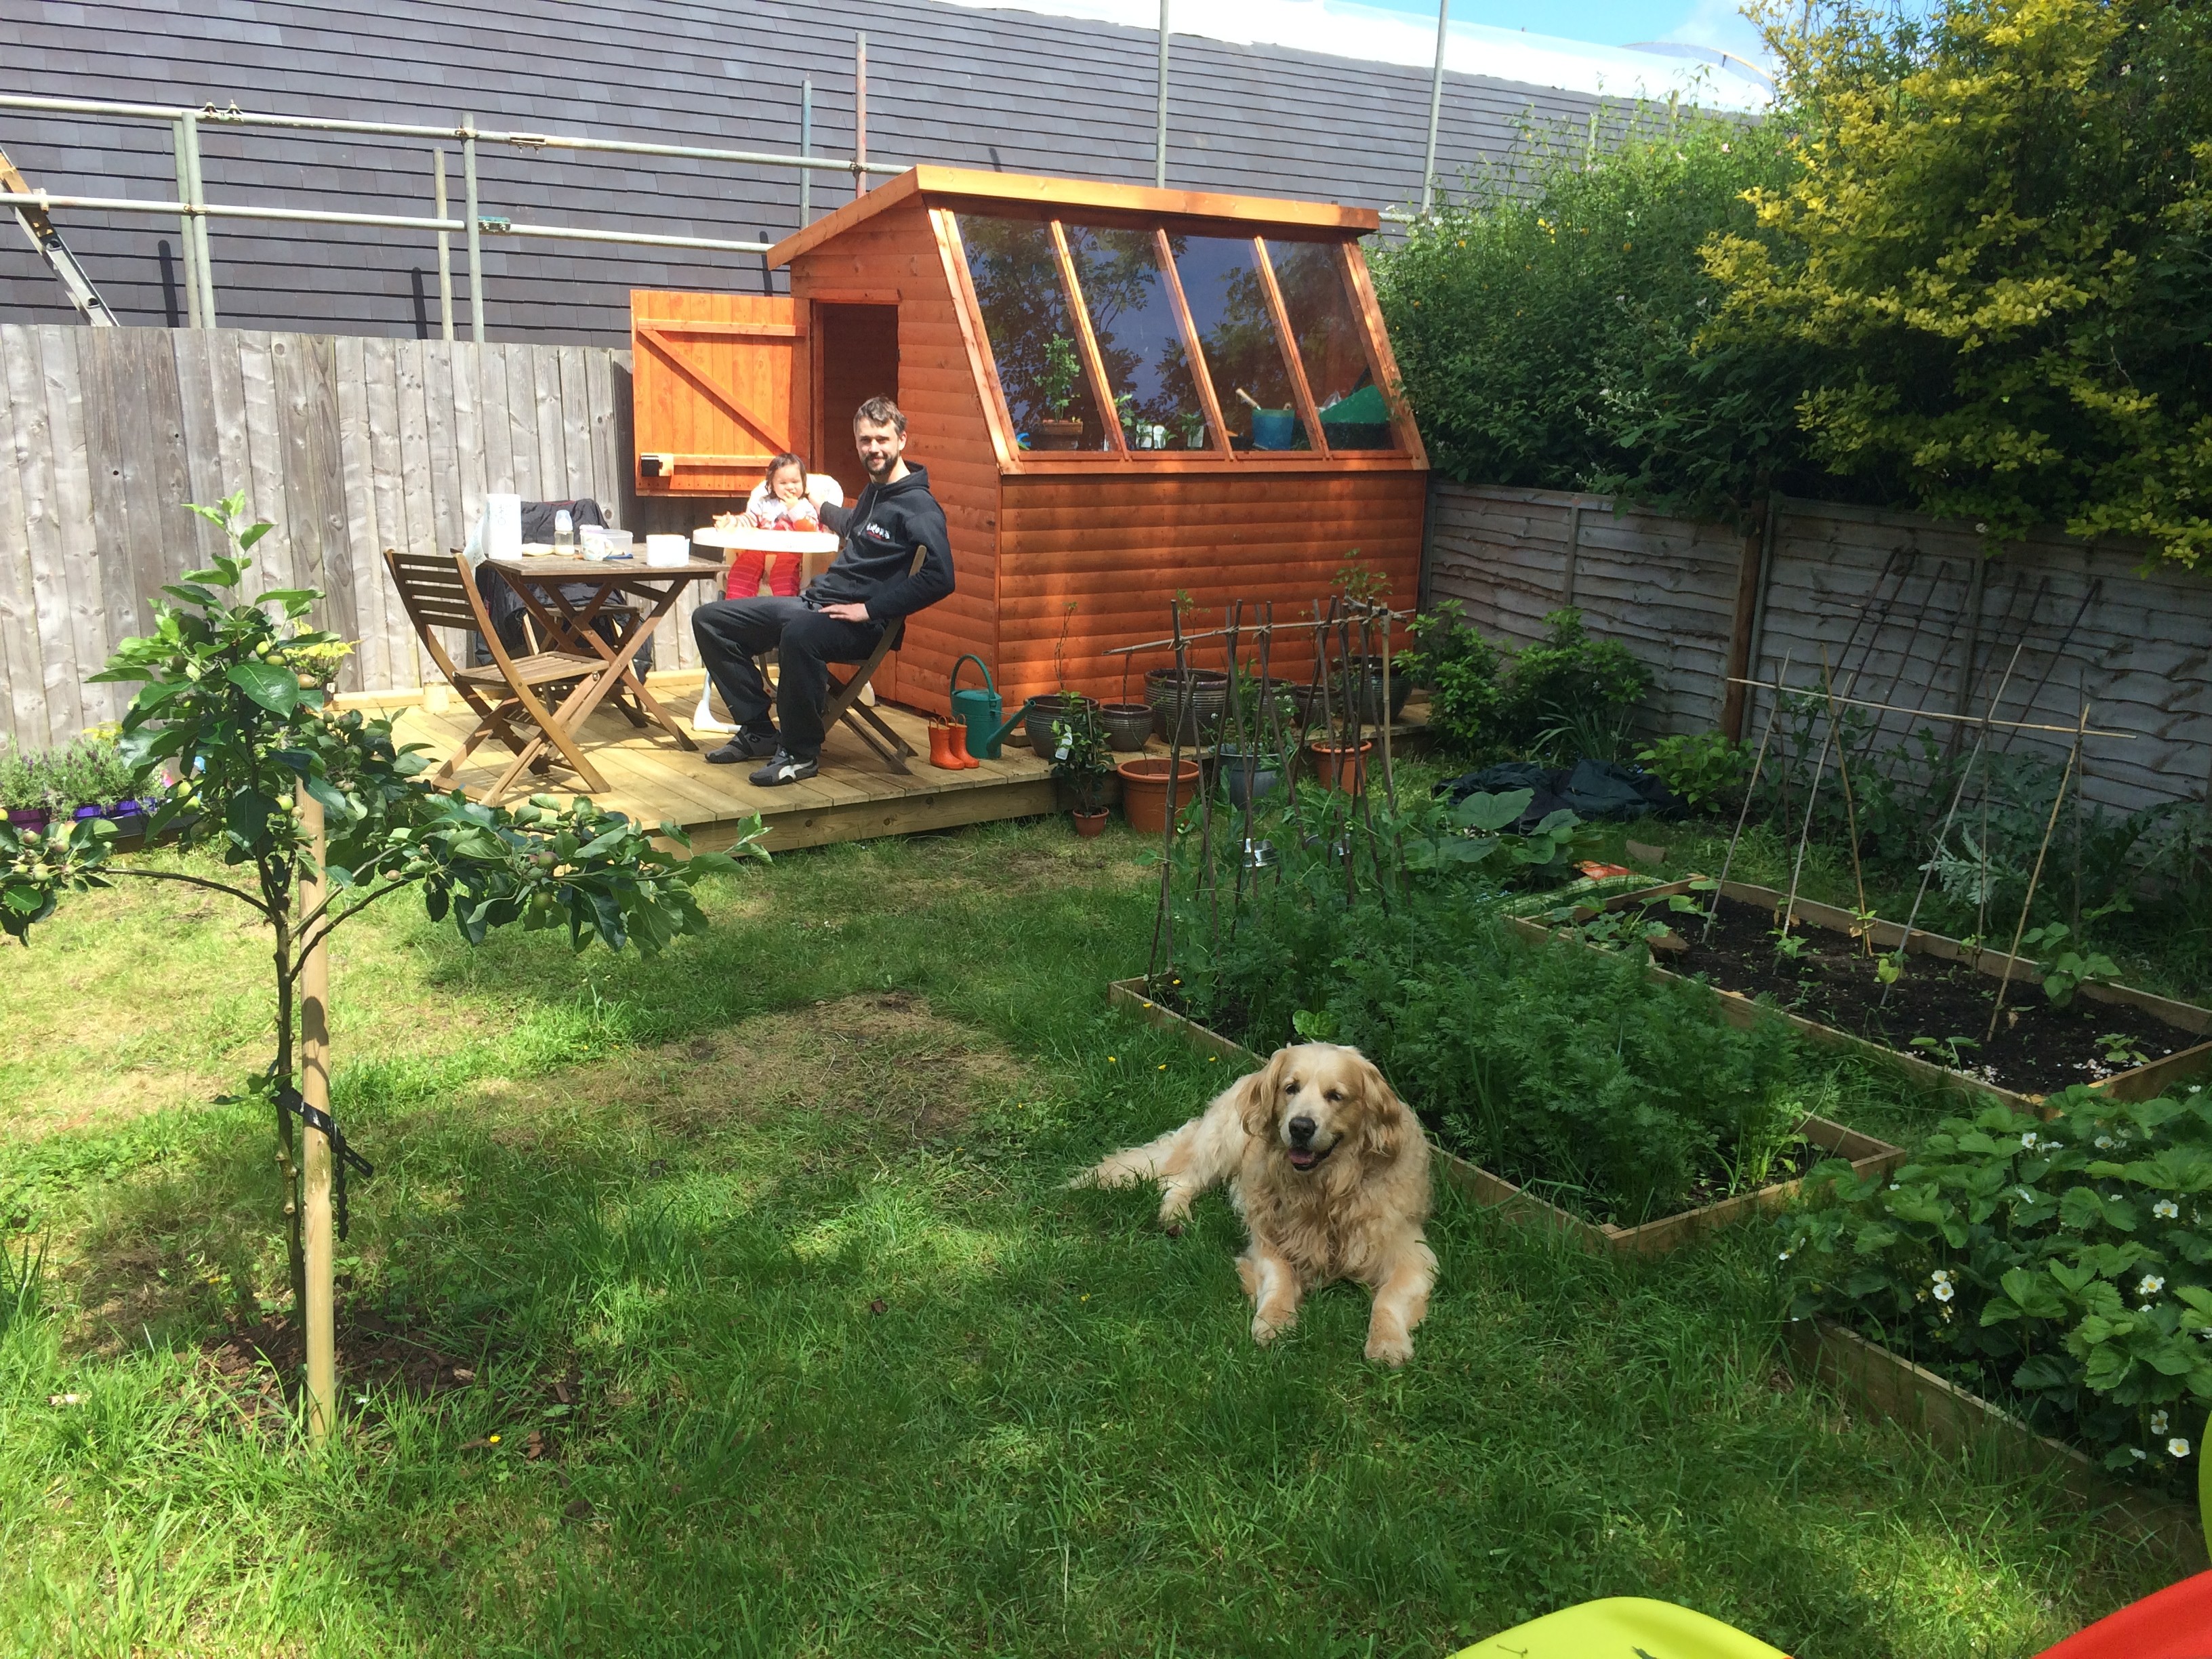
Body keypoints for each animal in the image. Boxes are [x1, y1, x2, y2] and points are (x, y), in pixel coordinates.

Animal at [1075, 1044, 1433, 1371]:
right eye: (1291, 1088)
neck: (1324, 1192)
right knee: (1179, 1182)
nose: (1300, 1127)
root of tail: (1254, 1073)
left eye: (1336, 1095)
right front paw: (1275, 1319)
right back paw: (1175, 1217)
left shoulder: (1412, 1254)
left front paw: (1387, 1342)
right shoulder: (1267, 1238)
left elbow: (1389, 1298)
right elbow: (1279, 1277)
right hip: (1225, 1140)